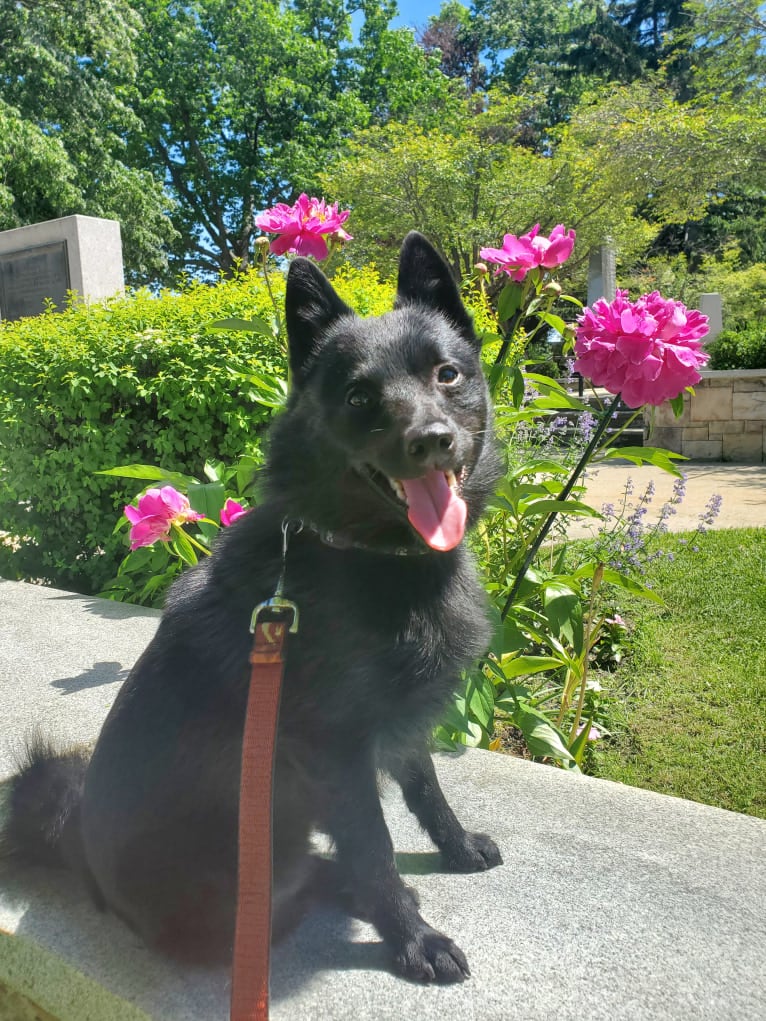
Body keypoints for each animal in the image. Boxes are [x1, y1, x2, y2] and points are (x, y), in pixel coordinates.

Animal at [1, 229, 504, 980]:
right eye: (359, 396)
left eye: (447, 374)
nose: (432, 440)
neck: (361, 551)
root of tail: (79, 855)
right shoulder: (335, 752)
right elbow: (375, 849)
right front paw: (412, 937)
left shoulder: (400, 724)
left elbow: (426, 791)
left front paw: (457, 845)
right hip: (260, 864)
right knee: (297, 889)